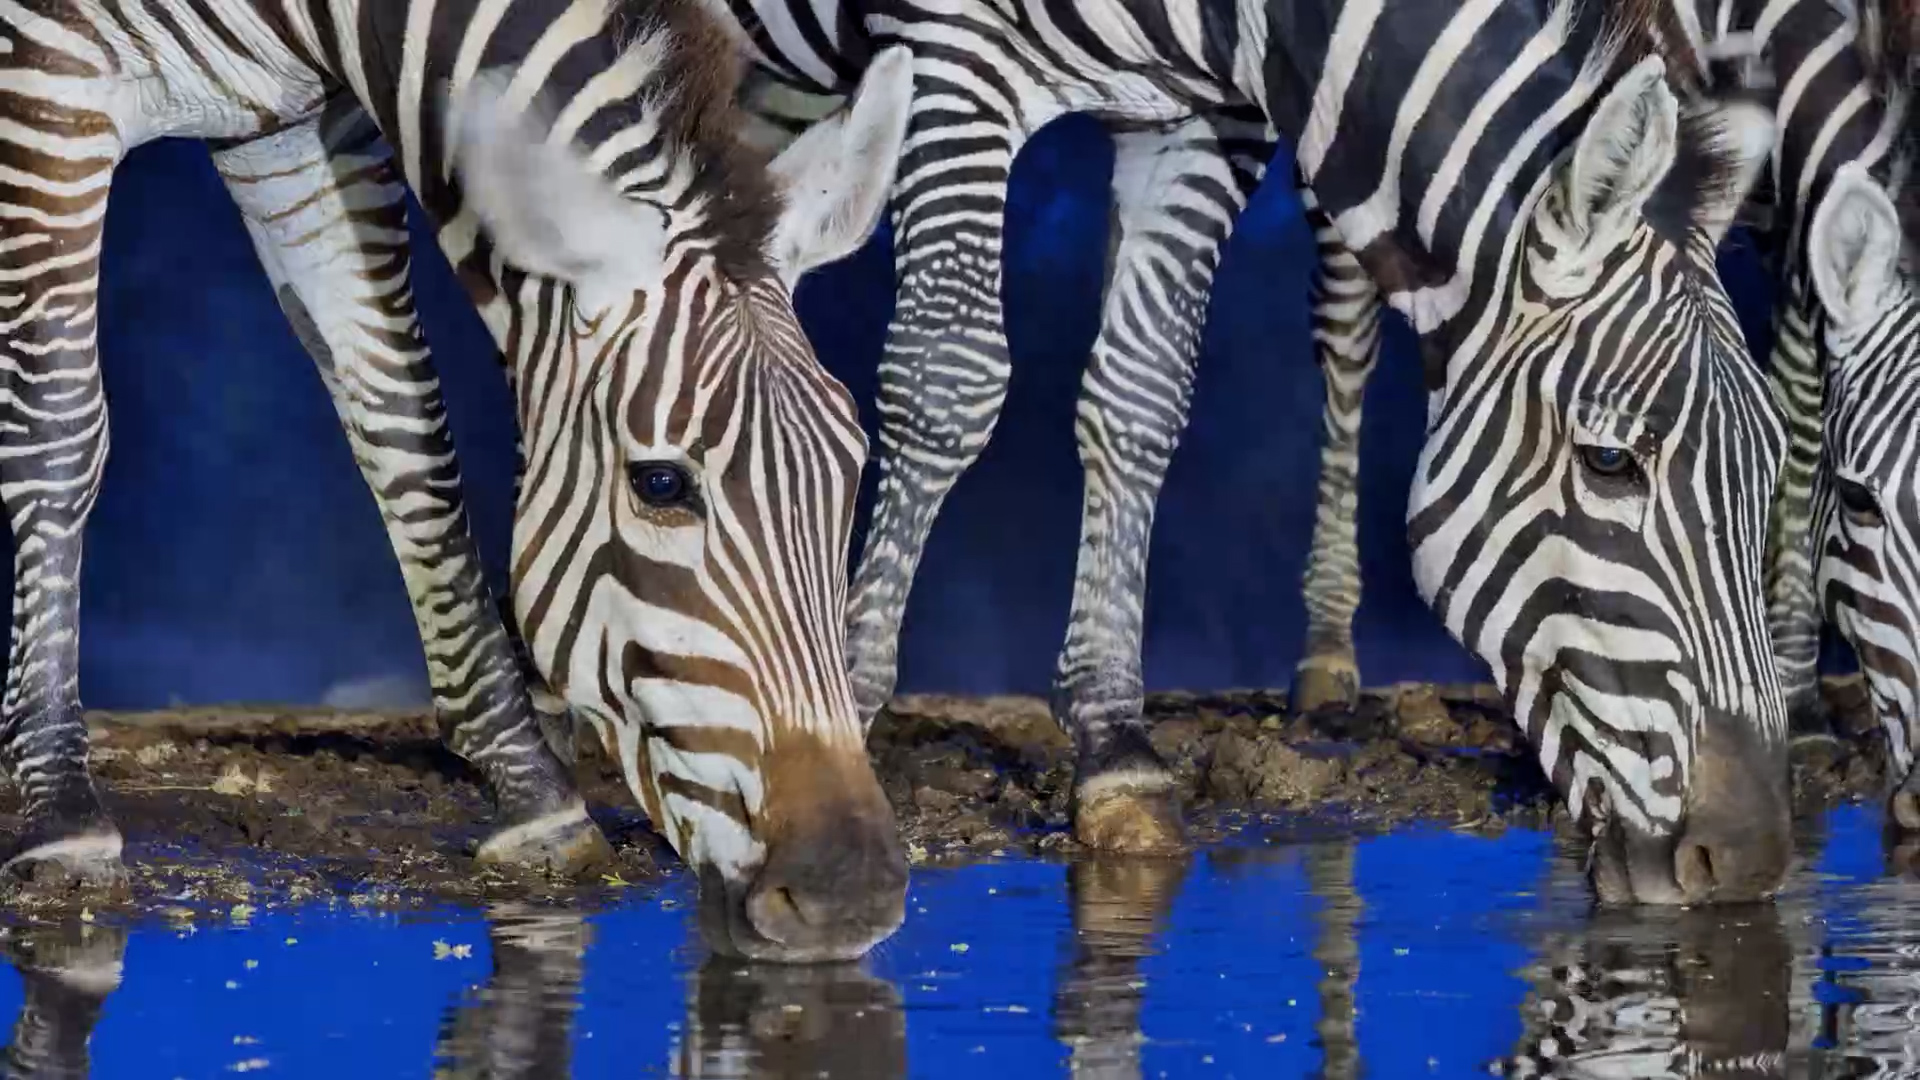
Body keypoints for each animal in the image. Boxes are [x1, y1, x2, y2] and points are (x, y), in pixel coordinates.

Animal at [0, 0, 916, 962]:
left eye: (852, 465)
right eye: (662, 484)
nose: (849, 894)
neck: (313, 21)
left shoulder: (294, 128)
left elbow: (400, 419)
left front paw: (532, 792)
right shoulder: (45, 79)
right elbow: (58, 427)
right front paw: (60, 812)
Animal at [727, 0, 1792, 901]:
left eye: (1771, 469)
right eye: (1610, 463)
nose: (1745, 859)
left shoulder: (1204, 117)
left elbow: (1142, 391)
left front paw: (1117, 751)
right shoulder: (951, 50)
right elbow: (947, 376)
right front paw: (842, 710)